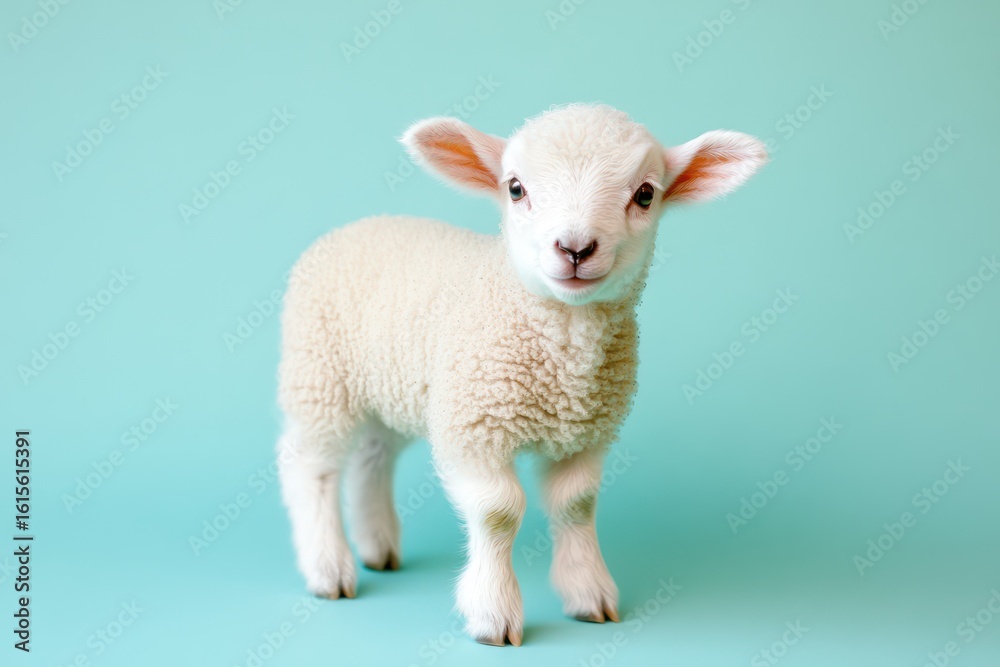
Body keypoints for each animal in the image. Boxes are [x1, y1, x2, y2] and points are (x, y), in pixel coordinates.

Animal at [277, 103, 766, 646]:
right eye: (515, 188)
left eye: (645, 194)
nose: (575, 248)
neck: (561, 361)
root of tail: (362, 225)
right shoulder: (474, 428)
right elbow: (498, 511)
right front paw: (493, 614)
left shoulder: (585, 435)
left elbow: (577, 504)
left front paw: (588, 593)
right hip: (320, 376)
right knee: (310, 465)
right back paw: (328, 567)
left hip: (392, 387)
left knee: (373, 455)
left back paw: (378, 547)